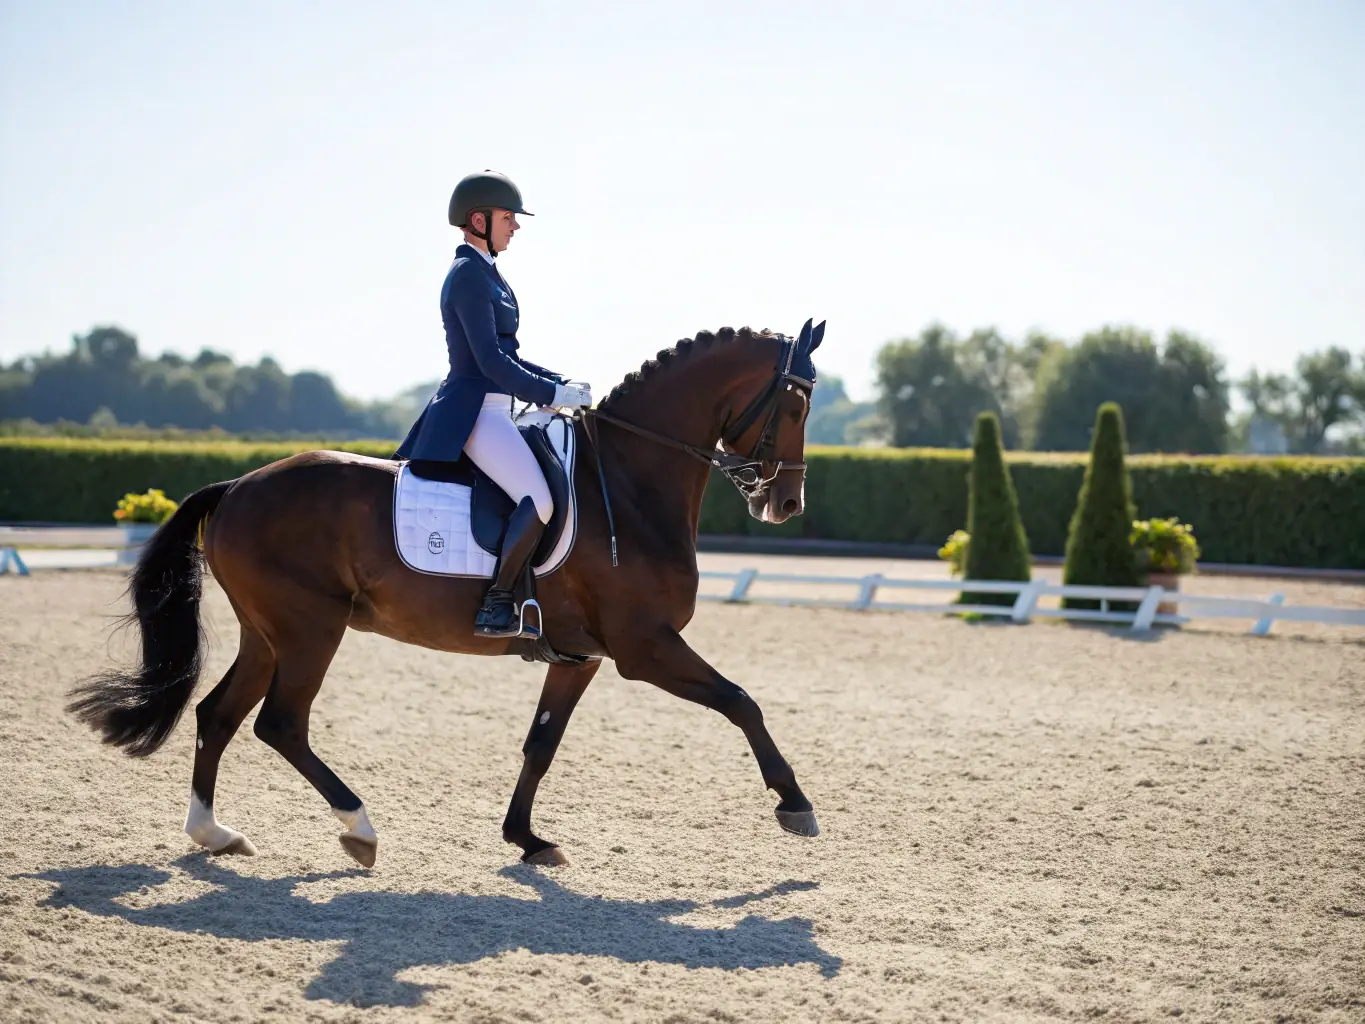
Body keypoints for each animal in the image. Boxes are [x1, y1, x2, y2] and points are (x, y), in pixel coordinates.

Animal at [69, 321, 825, 868]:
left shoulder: (579, 657)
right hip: (310, 628)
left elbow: (540, 744)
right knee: (279, 724)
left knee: (218, 714)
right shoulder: (645, 647)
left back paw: (214, 833)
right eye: (795, 404)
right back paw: (360, 829)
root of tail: (237, 487)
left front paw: (527, 839)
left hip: (267, 633)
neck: (629, 480)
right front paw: (795, 804)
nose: (786, 503)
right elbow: (741, 701)